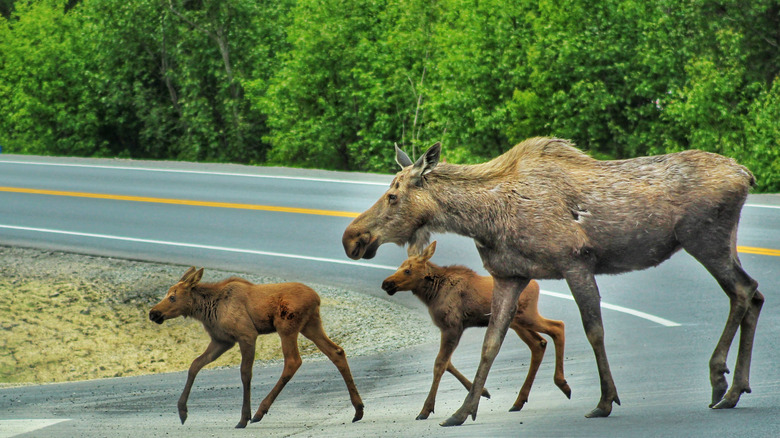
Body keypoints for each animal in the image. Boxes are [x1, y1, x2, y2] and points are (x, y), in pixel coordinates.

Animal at [149, 266, 362, 428]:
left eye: (173, 297)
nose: (153, 313)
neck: (208, 310)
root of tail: (317, 298)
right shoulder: (222, 340)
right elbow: (195, 365)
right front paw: (182, 411)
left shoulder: (246, 335)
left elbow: (245, 373)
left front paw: (243, 418)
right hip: (311, 325)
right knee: (337, 352)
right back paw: (358, 410)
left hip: (287, 326)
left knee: (293, 361)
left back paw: (260, 411)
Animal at [380, 241, 568, 420]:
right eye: (399, 267)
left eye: (408, 270)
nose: (386, 283)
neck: (432, 294)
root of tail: (536, 285)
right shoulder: (449, 329)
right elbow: (448, 363)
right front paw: (483, 391)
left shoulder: (452, 327)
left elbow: (440, 364)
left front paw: (425, 410)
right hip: (517, 323)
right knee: (539, 343)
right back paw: (519, 401)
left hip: (527, 316)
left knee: (557, 326)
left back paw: (562, 384)